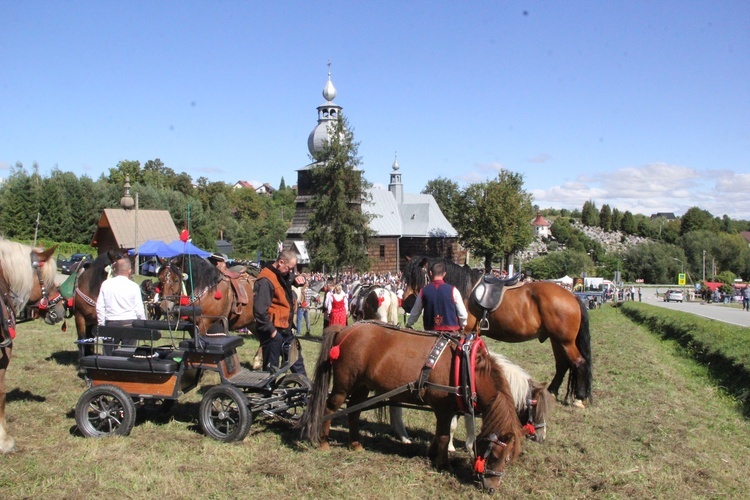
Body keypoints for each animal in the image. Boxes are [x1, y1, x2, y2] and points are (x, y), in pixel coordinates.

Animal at [298, 322, 524, 494]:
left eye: (509, 458)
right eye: (495, 455)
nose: (492, 488)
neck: (467, 368)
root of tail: (345, 330)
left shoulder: (447, 410)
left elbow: (440, 434)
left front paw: (433, 454)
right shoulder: (443, 408)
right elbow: (443, 436)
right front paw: (443, 464)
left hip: (362, 386)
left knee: (354, 411)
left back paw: (355, 444)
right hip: (344, 385)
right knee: (330, 408)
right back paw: (323, 442)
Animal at [406, 256, 592, 408]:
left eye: (415, 277)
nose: (406, 304)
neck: (465, 290)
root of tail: (573, 296)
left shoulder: (464, 332)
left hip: (565, 341)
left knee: (579, 362)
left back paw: (579, 398)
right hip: (556, 340)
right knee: (562, 365)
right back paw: (552, 391)